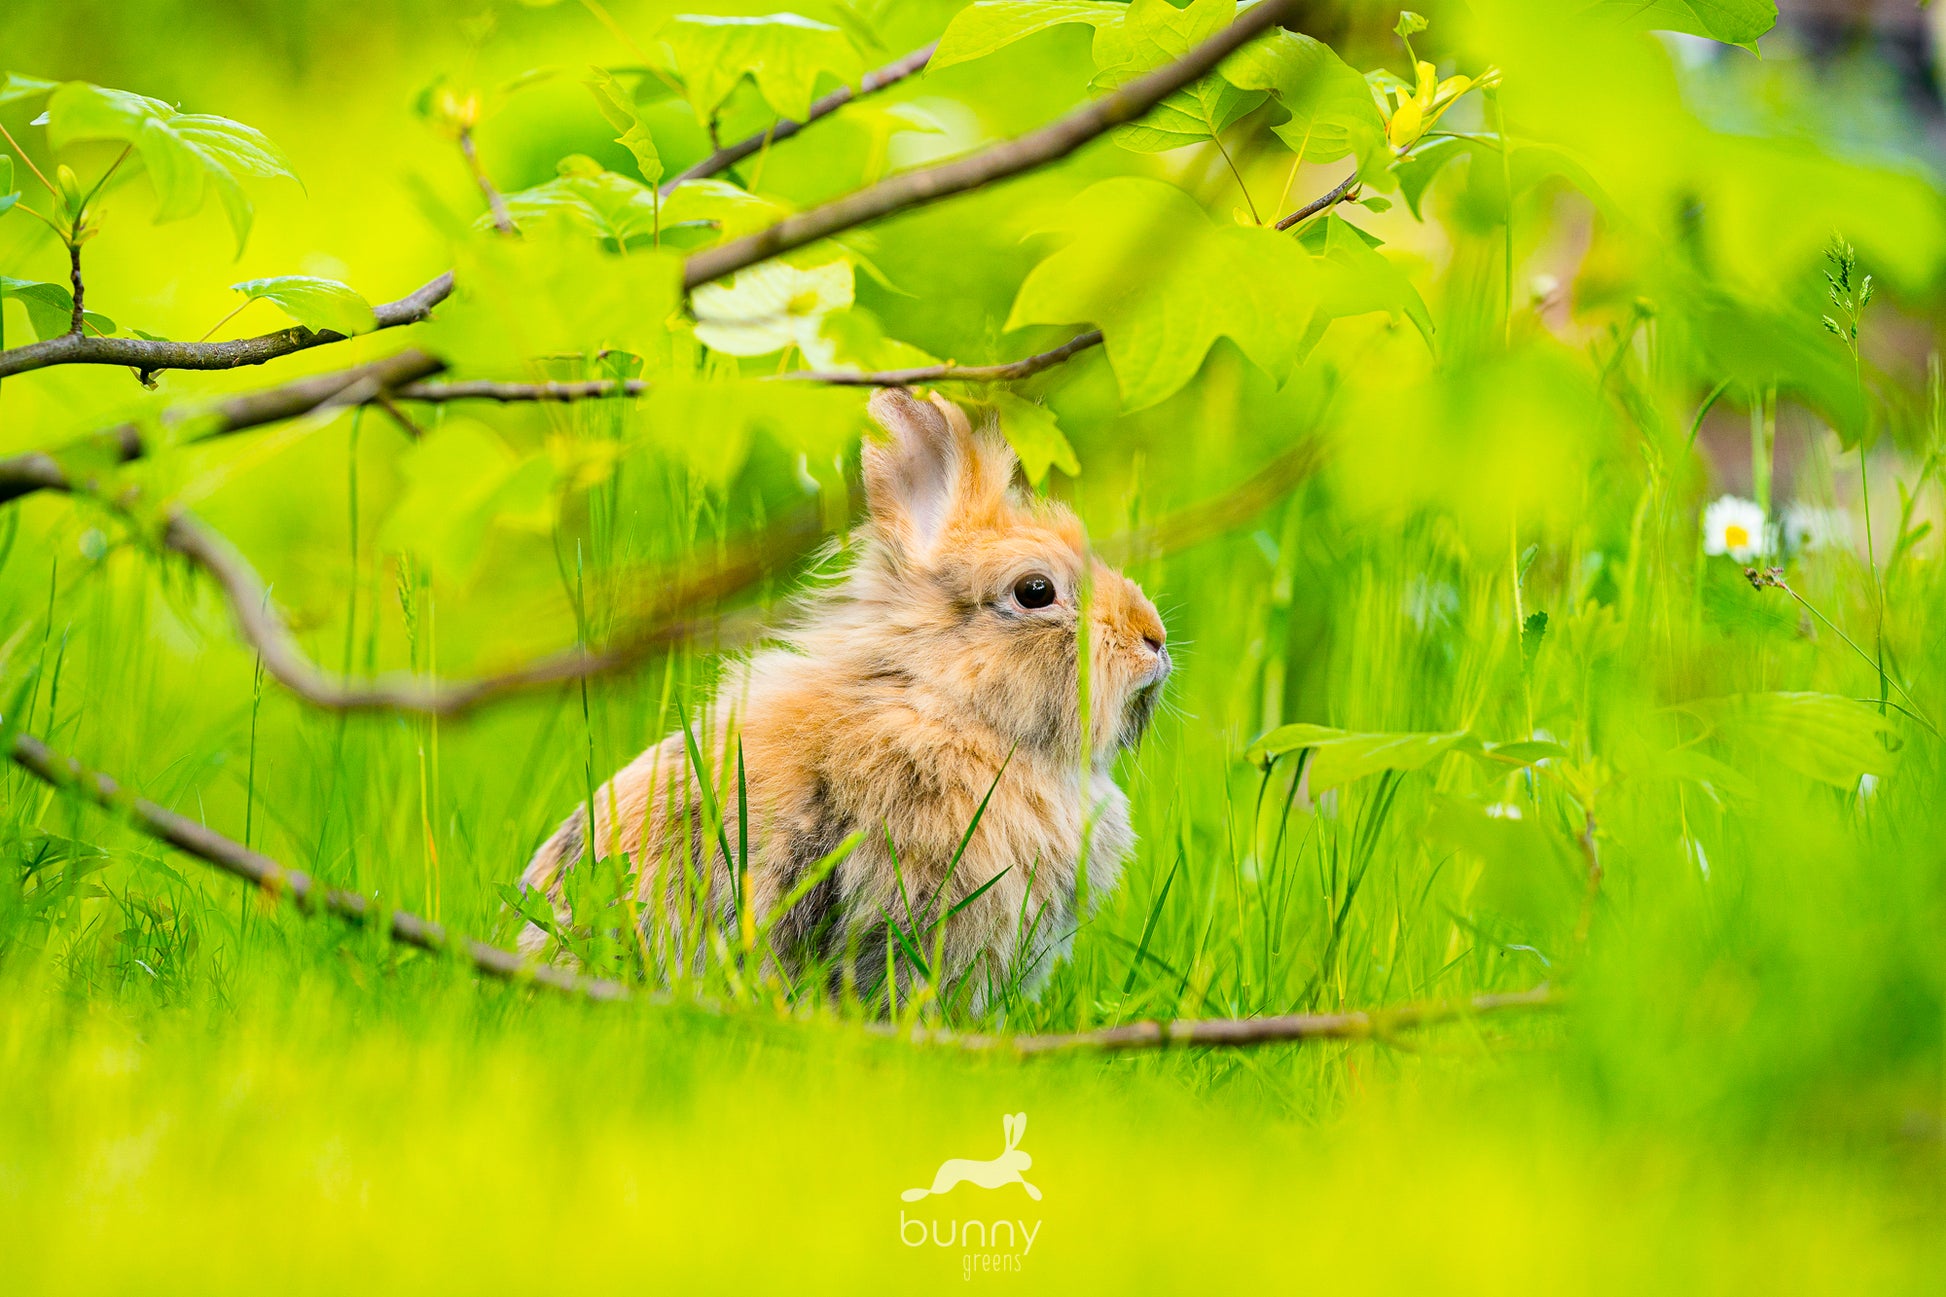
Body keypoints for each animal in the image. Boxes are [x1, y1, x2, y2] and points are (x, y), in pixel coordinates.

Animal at [903, 1112, 1040, 1202]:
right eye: (1021, 1156)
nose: (1029, 1162)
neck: (1006, 1162)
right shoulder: (1013, 1176)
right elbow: (1026, 1184)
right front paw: (1036, 1193)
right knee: (931, 1191)